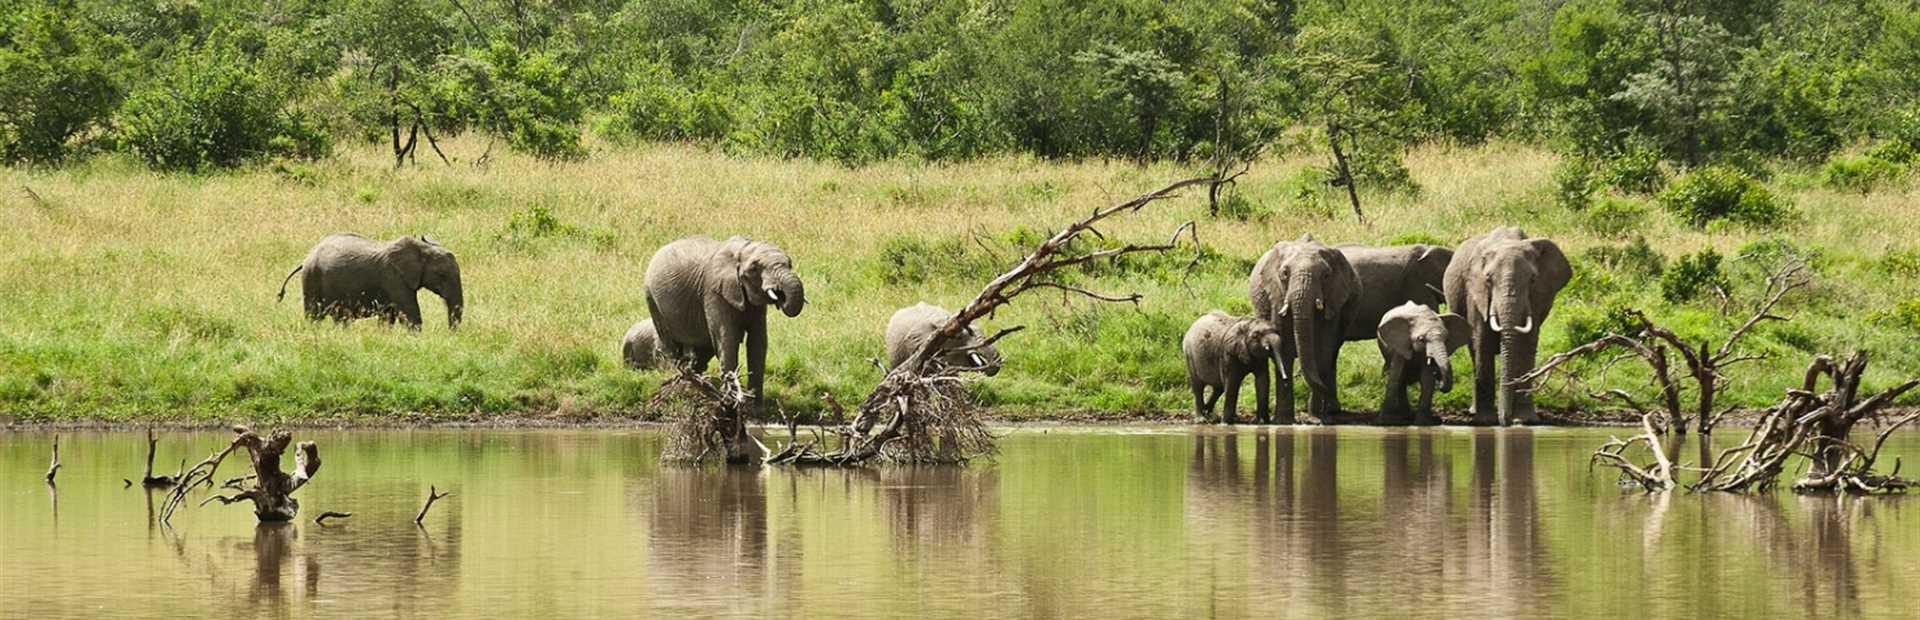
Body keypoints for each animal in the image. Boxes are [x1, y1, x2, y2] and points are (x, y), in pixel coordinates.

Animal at [278, 233, 464, 330]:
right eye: (442, 274)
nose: (450, 333)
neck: (421, 247)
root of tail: (306, 258)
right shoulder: (393, 277)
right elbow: (410, 314)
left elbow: (389, 316)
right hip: (311, 279)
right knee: (314, 315)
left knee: (340, 318)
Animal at [641, 234, 798, 403]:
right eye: (754, 268)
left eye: (790, 264)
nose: (780, 296)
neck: (741, 249)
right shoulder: (714, 291)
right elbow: (728, 338)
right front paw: (733, 400)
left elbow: (758, 341)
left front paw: (755, 403)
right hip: (652, 299)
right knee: (671, 343)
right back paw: (678, 376)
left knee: (704, 348)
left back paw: (695, 377)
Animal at [1244, 236, 1367, 424]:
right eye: (1284, 274)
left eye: (1326, 276)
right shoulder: (1277, 295)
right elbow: (1284, 349)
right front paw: (1283, 421)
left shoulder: (1333, 300)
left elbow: (1322, 350)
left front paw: (1317, 419)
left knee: (1331, 354)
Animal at [1443, 228, 1574, 428]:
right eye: (1488, 279)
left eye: (1533, 279)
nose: (1505, 422)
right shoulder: (1476, 293)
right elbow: (1482, 343)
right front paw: (1486, 421)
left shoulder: (1538, 297)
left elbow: (1527, 345)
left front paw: (1524, 419)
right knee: (1474, 351)